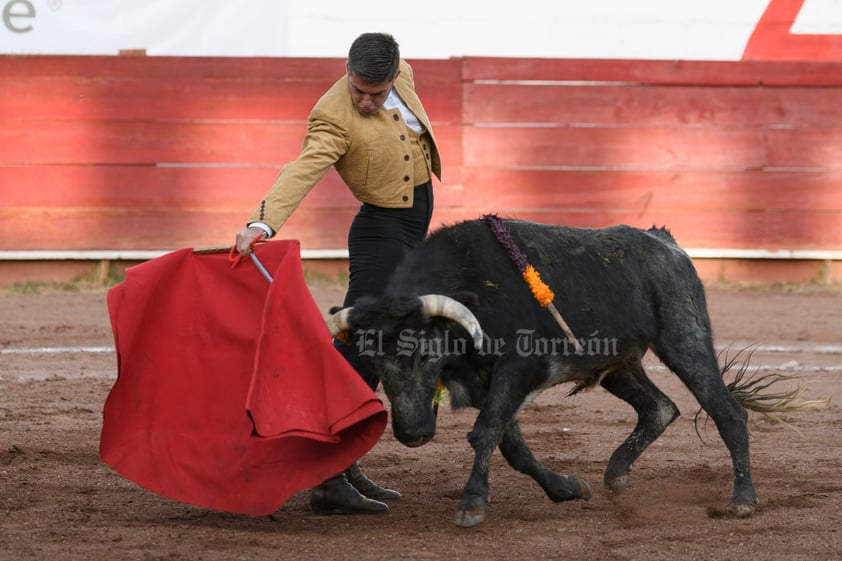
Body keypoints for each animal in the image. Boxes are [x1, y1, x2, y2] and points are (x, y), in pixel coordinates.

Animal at [326, 217, 756, 528]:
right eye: (375, 363)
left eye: (428, 357)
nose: (413, 434)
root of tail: (666, 243)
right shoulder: (486, 385)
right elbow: (511, 445)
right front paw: (568, 488)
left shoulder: (519, 367)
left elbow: (485, 432)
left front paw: (472, 503)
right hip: (619, 364)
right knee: (660, 408)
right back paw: (616, 474)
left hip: (684, 339)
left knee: (727, 412)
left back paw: (742, 500)